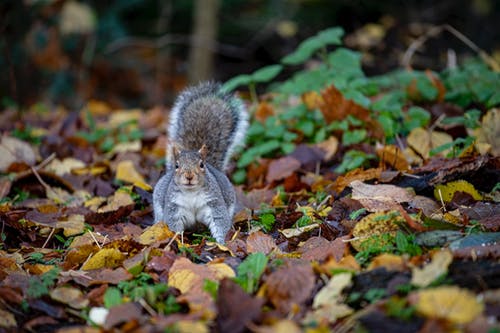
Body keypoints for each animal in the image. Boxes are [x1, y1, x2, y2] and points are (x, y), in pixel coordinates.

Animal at [151, 80, 247, 241]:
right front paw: (178, 241)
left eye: (201, 165)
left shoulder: (214, 203)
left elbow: (220, 221)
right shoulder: (173, 207)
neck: (191, 193)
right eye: (177, 166)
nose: (189, 176)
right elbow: (173, 225)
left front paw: (221, 242)